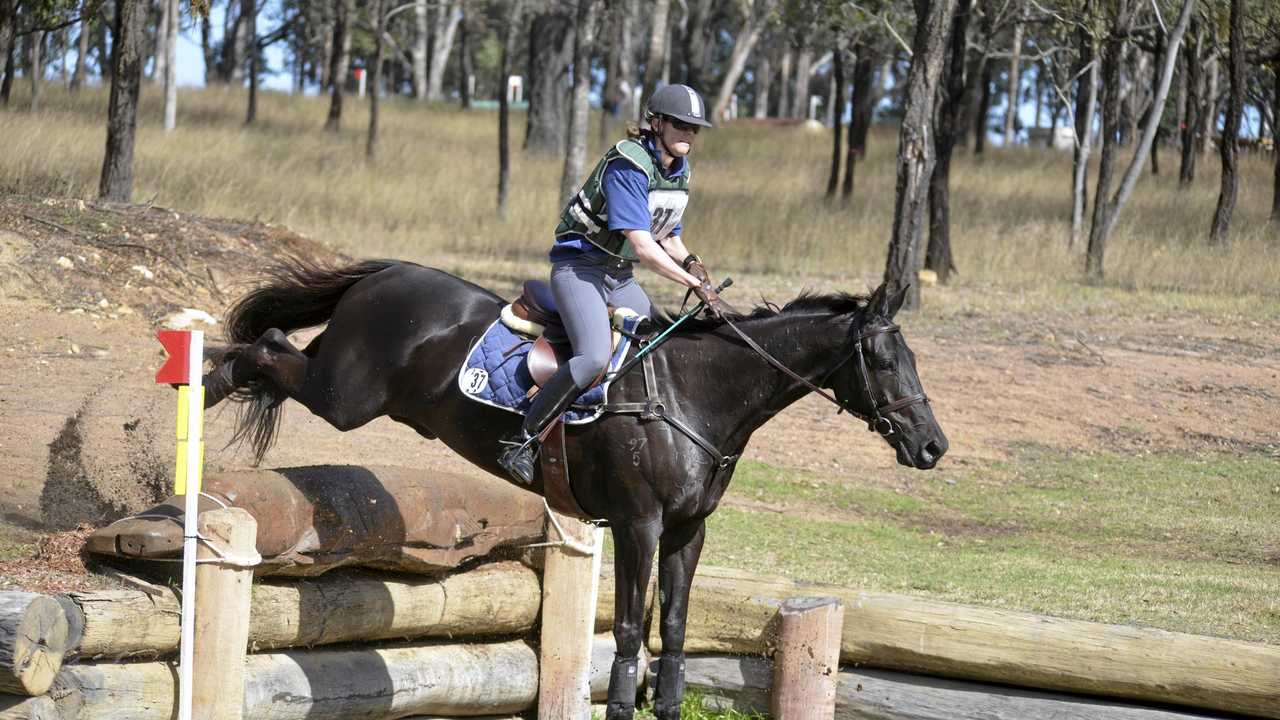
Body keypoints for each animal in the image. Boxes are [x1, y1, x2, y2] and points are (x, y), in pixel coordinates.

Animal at [199, 258, 942, 717]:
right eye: (883, 360)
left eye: (911, 356)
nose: (933, 446)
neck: (696, 396)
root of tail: (388, 272)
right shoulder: (639, 522)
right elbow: (629, 627)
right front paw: (619, 704)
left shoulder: (687, 529)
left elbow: (673, 624)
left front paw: (665, 703)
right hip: (344, 396)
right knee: (268, 344)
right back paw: (207, 377)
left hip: (340, 383)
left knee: (277, 345)